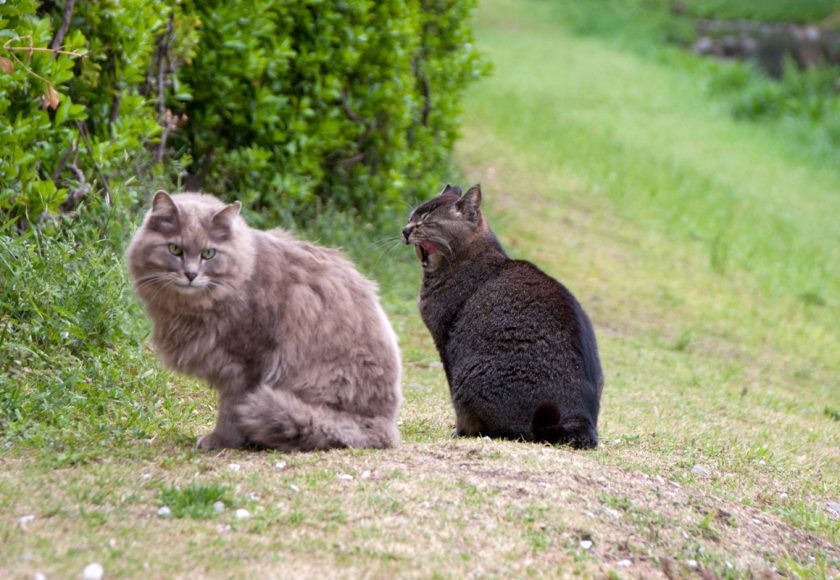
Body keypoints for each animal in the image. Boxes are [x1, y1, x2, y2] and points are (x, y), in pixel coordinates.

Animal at [126, 191, 402, 454]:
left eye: (208, 253)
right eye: (174, 249)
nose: (191, 275)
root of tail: (385, 426)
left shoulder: (246, 365)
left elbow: (231, 409)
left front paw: (220, 440)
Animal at [402, 184, 604, 446]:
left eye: (426, 221)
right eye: (411, 217)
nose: (405, 230)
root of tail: (581, 420)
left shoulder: (444, 341)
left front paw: (459, 431)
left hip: (469, 377)